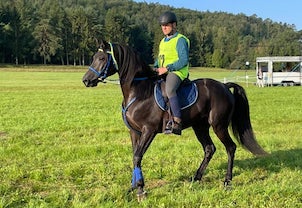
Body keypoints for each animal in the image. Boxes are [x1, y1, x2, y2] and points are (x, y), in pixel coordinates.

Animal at [82, 39, 266, 200]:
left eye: (101, 58)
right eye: (93, 57)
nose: (86, 80)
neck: (140, 92)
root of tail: (224, 86)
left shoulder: (148, 131)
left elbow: (137, 156)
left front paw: (141, 190)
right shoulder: (134, 131)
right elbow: (135, 156)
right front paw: (133, 187)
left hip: (219, 126)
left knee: (230, 148)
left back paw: (227, 181)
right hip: (200, 127)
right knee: (209, 149)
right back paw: (196, 178)